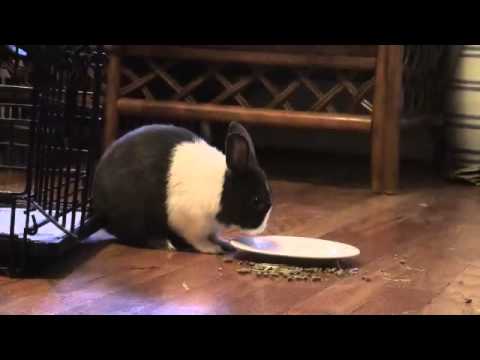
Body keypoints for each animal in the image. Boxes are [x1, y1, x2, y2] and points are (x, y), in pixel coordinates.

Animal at [80, 121, 272, 253]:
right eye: (256, 200)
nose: (262, 228)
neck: (221, 189)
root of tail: (100, 210)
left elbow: (214, 235)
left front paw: (223, 244)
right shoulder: (188, 220)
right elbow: (198, 239)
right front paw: (212, 249)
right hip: (134, 216)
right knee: (137, 236)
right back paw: (165, 244)